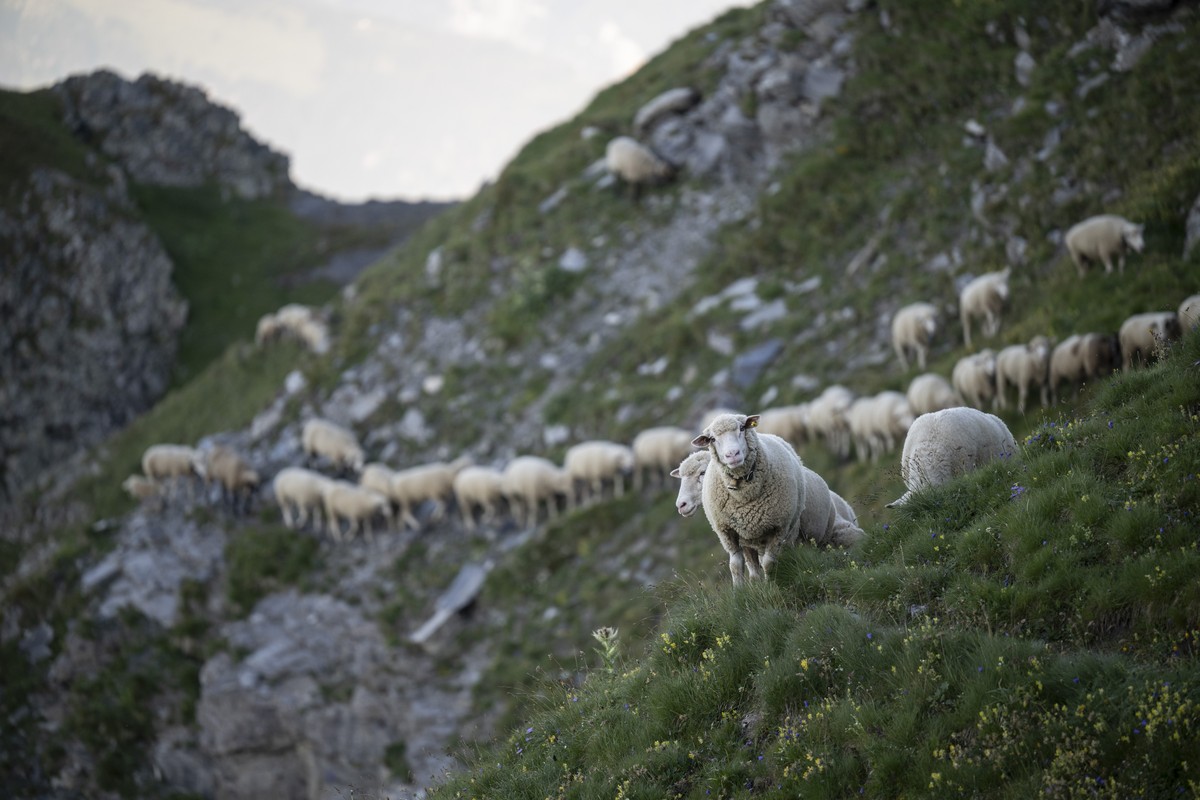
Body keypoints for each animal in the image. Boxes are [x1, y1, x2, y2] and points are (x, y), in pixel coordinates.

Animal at [690, 413, 806, 587]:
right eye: (712, 439)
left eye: (742, 428)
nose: (732, 454)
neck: (744, 496)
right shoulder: (727, 532)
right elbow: (735, 565)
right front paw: (739, 590)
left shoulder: (778, 528)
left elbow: (769, 563)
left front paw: (771, 586)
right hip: (747, 539)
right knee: (753, 567)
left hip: (788, 529)